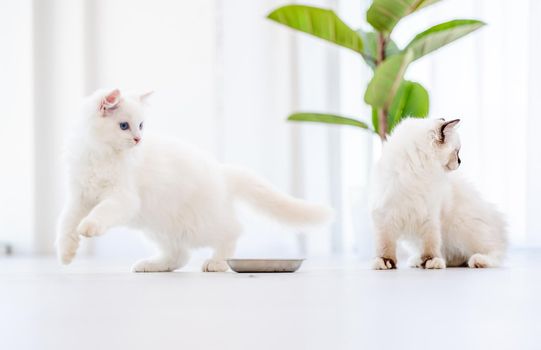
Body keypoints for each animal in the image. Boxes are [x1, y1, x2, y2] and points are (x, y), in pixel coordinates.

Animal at [56, 89, 334, 272]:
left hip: (201, 224)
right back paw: (154, 265)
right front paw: (66, 254)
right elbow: (66, 225)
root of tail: (221, 172)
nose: (138, 139)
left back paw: (217, 262)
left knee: (232, 231)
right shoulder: (79, 197)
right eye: (124, 125)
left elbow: (101, 212)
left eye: (141, 125)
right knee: (180, 255)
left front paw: (89, 227)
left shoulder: (122, 198)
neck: (100, 155)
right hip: (158, 225)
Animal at [372, 119, 506, 270]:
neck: (415, 173)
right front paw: (384, 262)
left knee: (494, 253)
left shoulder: (429, 215)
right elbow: (385, 245)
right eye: (456, 152)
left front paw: (432, 261)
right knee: (454, 257)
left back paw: (478, 261)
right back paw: (418, 261)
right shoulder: (385, 215)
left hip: (464, 228)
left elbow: (431, 244)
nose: (460, 162)